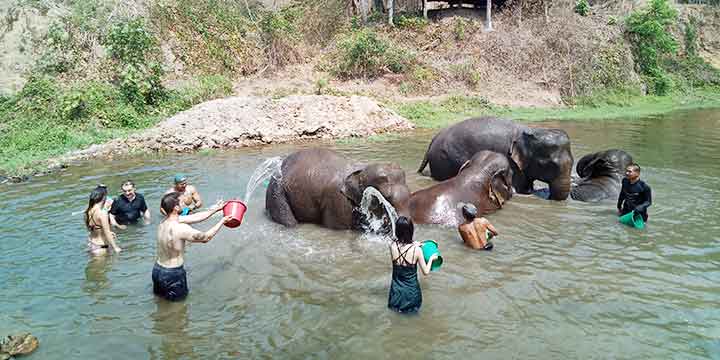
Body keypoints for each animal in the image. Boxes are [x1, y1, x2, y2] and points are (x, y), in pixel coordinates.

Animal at [416, 116, 572, 200]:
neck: (532, 131)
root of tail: (434, 139)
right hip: (443, 160)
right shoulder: (511, 162)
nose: (549, 197)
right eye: (548, 165)